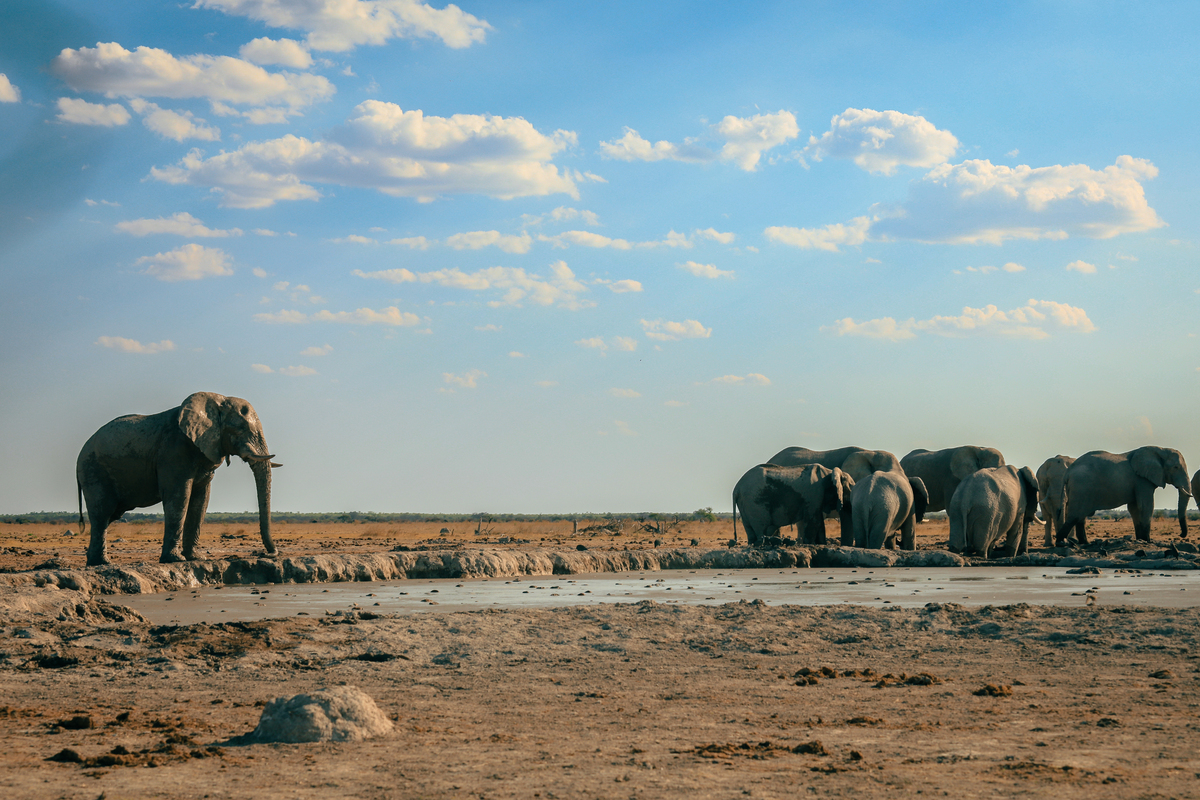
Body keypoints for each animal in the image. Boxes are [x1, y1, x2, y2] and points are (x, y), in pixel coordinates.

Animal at [77, 392, 280, 566]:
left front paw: (195, 558)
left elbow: (201, 500)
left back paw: (96, 562)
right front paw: (175, 560)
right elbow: (180, 497)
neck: (217, 400)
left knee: (110, 515)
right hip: (93, 471)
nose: (266, 553)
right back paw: (102, 563)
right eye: (241, 428)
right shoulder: (174, 450)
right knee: (103, 513)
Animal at [1057, 446, 1190, 546]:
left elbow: (1134, 508)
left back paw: (1084, 543)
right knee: (1075, 515)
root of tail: (1068, 472)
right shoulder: (1142, 479)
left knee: (1080, 516)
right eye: (1176, 467)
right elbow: (1145, 506)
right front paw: (1147, 541)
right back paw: (1060, 543)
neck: (1160, 449)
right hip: (1081, 486)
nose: (1181, 535)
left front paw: (1140, 540)